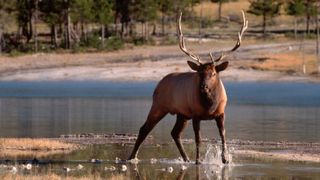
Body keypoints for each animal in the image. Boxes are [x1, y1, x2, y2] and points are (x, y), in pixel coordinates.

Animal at [127, 10, 248, 164]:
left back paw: (185, 158)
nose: (203, 87)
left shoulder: (221, 113)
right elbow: (198, 139)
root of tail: (158, 84)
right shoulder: (196, 114)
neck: (210, 105)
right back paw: (132, 157)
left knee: (175, 132)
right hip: (159, 105)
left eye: (214, 73)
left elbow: (223, 136)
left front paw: (225, 159)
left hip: (182, 114)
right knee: (145, 129)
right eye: (199, 73)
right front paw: (199, 160)